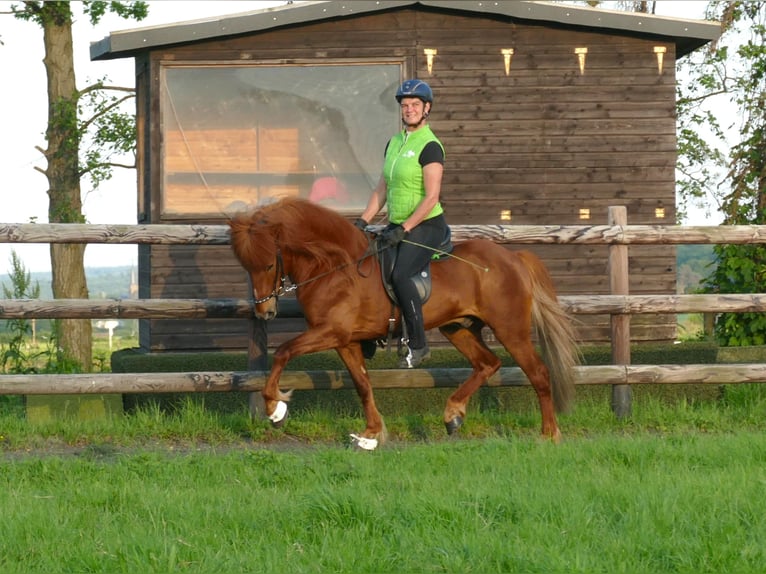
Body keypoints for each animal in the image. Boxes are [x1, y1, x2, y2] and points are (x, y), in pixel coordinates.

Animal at [228, 197, 579, 449]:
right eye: (246, 266)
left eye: (269, 264)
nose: (265, 312)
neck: (336, 265)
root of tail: (513, 258)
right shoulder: (346, 340)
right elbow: (362, 384)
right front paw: (370, 434)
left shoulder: (331, 332)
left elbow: (283, 352)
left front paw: (275, 408)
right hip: (459, 327)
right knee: (487, 363)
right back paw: (453, 415)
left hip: (510, 329)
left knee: (538, 372)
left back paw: (549, 434)